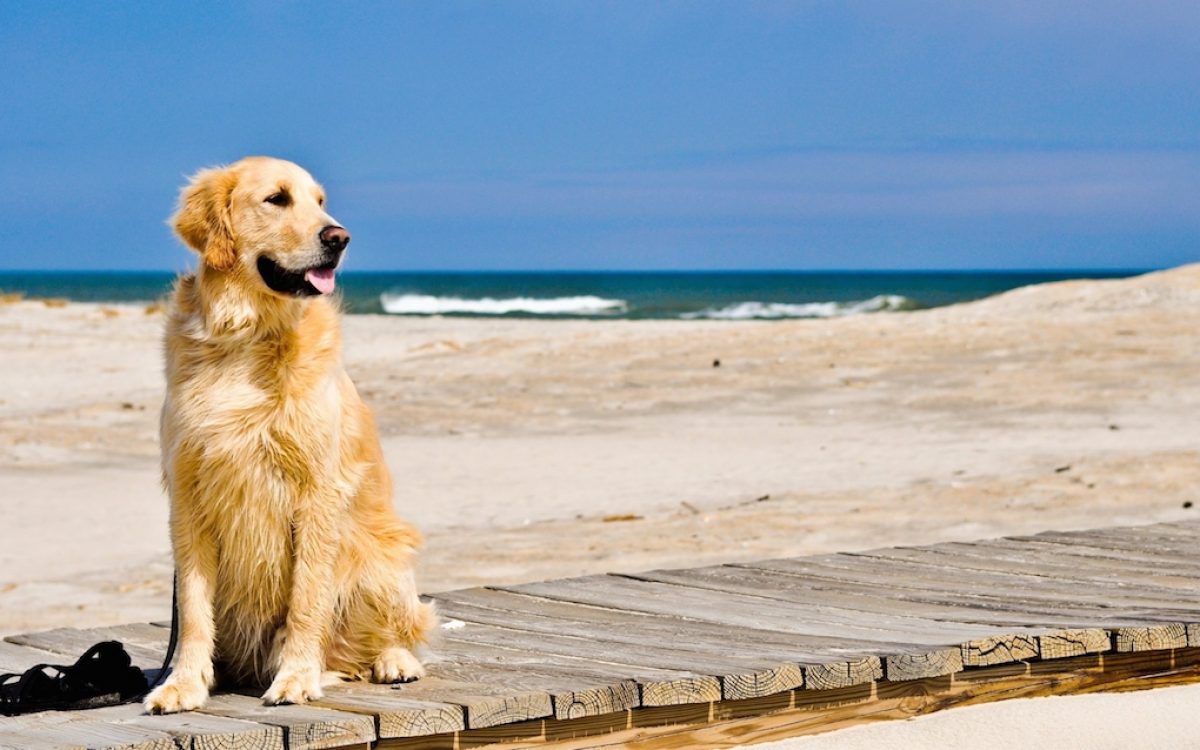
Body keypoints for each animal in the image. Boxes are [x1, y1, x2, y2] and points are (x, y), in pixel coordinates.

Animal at [145, 154, 436, 710]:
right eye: (277, 199)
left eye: (320, 201)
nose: (339, 237)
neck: (245, 336)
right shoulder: (188, 496)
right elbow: (192, 609)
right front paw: (184, 682)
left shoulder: (318, 493)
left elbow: (306, 598)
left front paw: (297, 676)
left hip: (381, 556)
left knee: (391, 632)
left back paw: (393, 662)